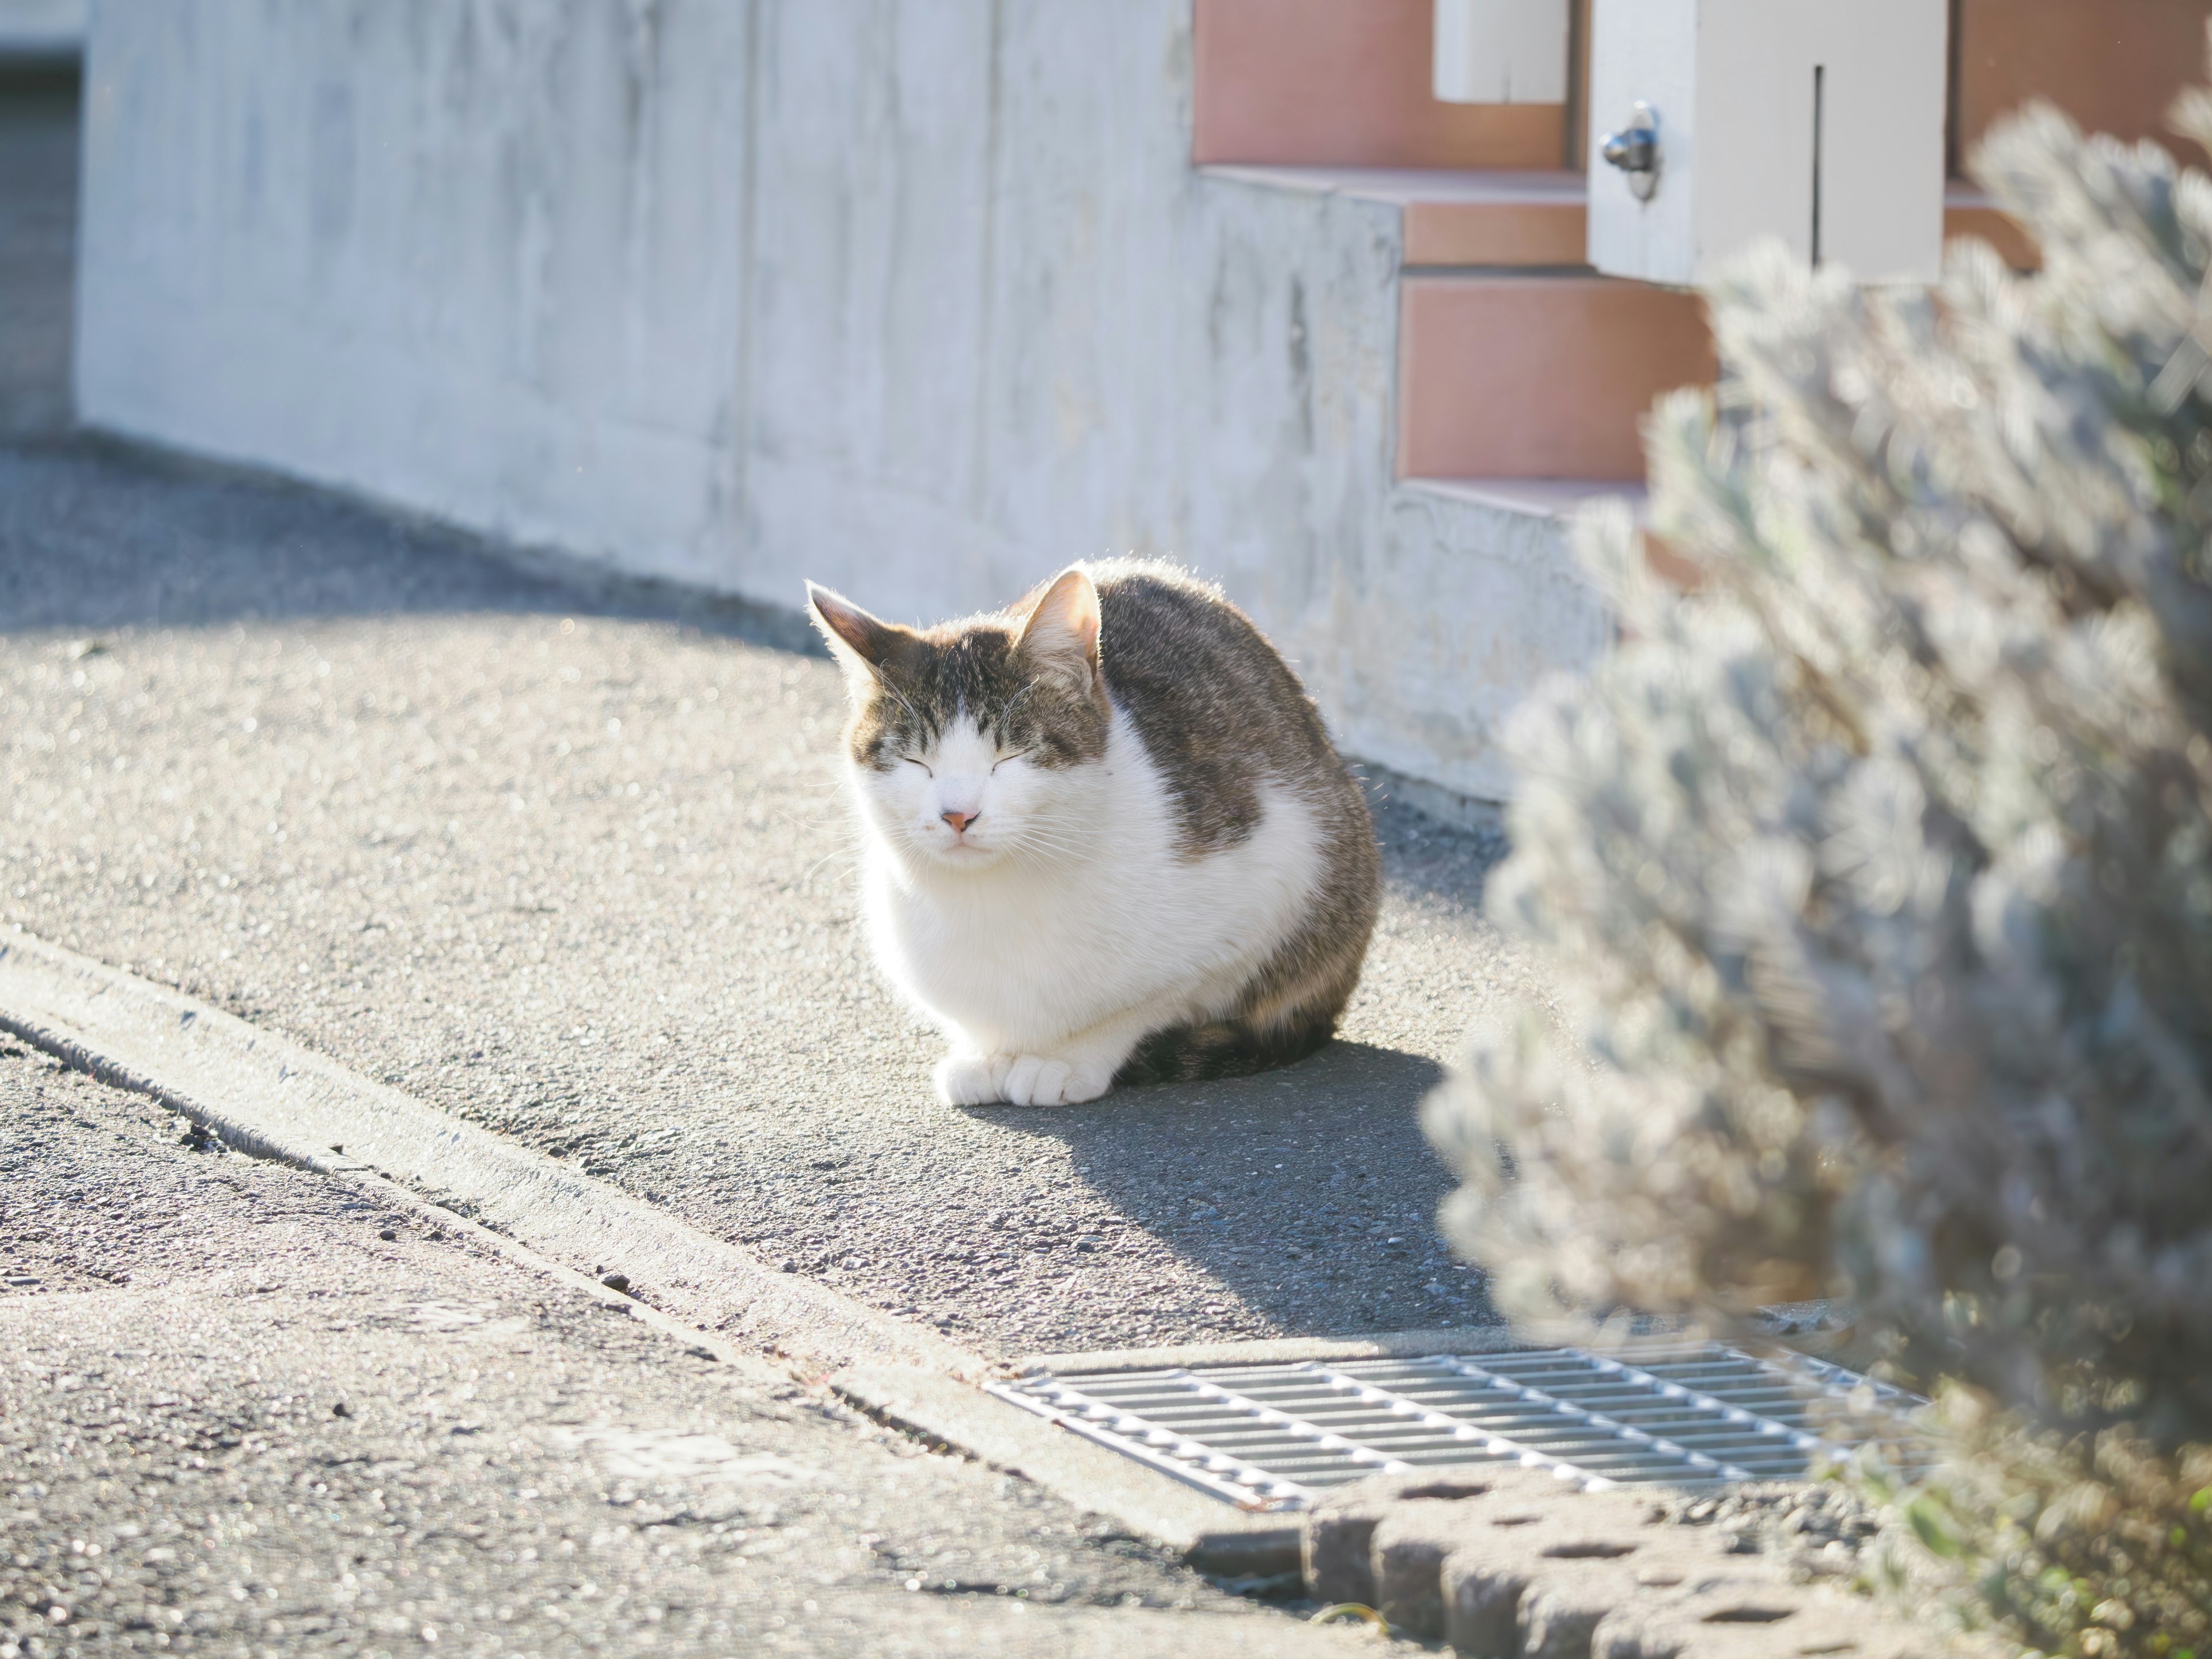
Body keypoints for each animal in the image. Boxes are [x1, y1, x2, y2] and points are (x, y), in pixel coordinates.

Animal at [805, 559, 1371, 1106]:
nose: (958, 815)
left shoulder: (1272, 872)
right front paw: (987, 1056)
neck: (994, 898)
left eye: (1009, 757)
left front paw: (1067, 1060)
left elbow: (1143, 1003)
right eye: (916, 762)